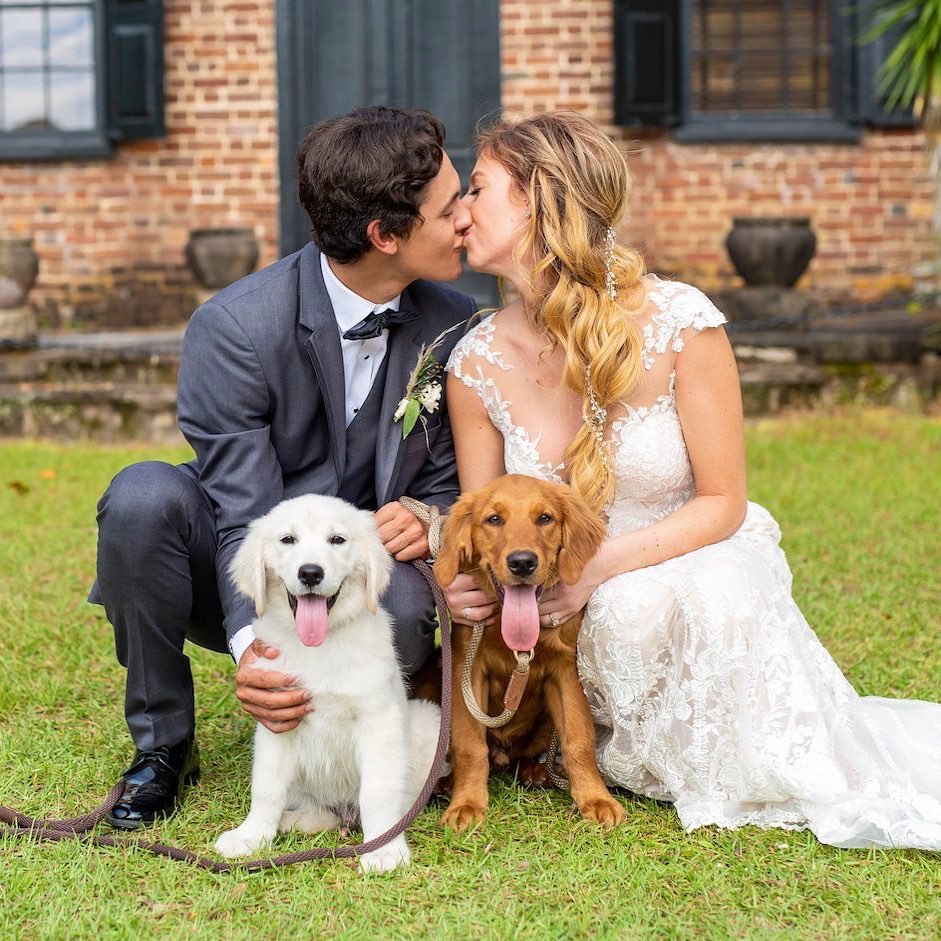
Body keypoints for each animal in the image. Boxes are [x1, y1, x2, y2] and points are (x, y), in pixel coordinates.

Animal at [215, 496, 442, 872]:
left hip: (430, 723)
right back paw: (291, 821)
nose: (310, 573)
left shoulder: (379, 720)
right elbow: (266, 786)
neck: (318, 646)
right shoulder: (277, 719)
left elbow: (378, 791)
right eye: (287, 540)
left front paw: (383, 849)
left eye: (337, 540)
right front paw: (252, 835)